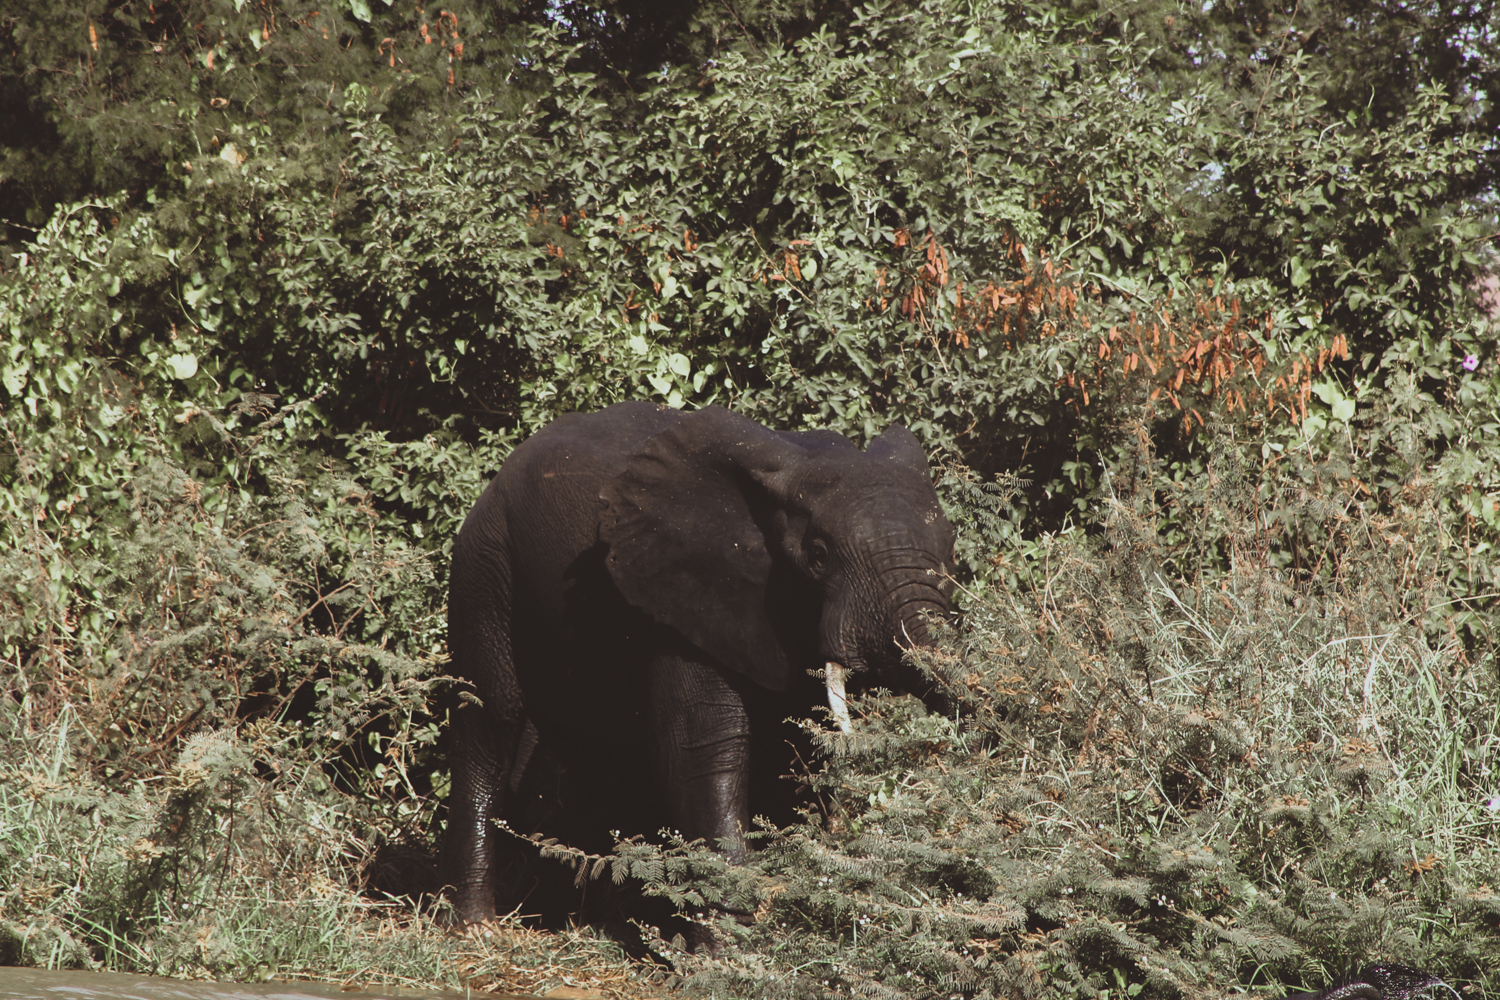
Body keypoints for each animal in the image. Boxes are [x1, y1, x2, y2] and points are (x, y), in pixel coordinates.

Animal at [438, 398, 954, 923]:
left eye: (951, 549)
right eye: (819, 555)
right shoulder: (678, 596)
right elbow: (704, 747)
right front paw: (725, 935)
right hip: (485, 567)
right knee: (488, 725)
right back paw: (477, 925)